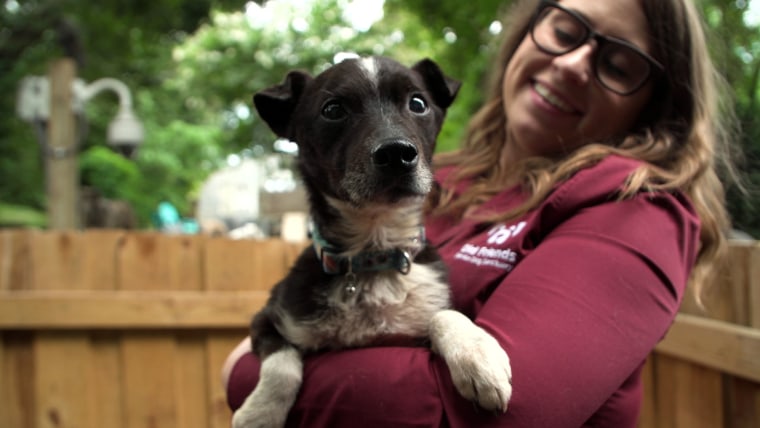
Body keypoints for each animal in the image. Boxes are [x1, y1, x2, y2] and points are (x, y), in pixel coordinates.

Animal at [232, 56, 512, 428]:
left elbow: (444, 315)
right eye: (333, 109)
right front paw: (260, 412)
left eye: (418, 103)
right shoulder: (266, 318)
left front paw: (478, 355)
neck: (374, 252)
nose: (396, 153)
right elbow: (282, 363)